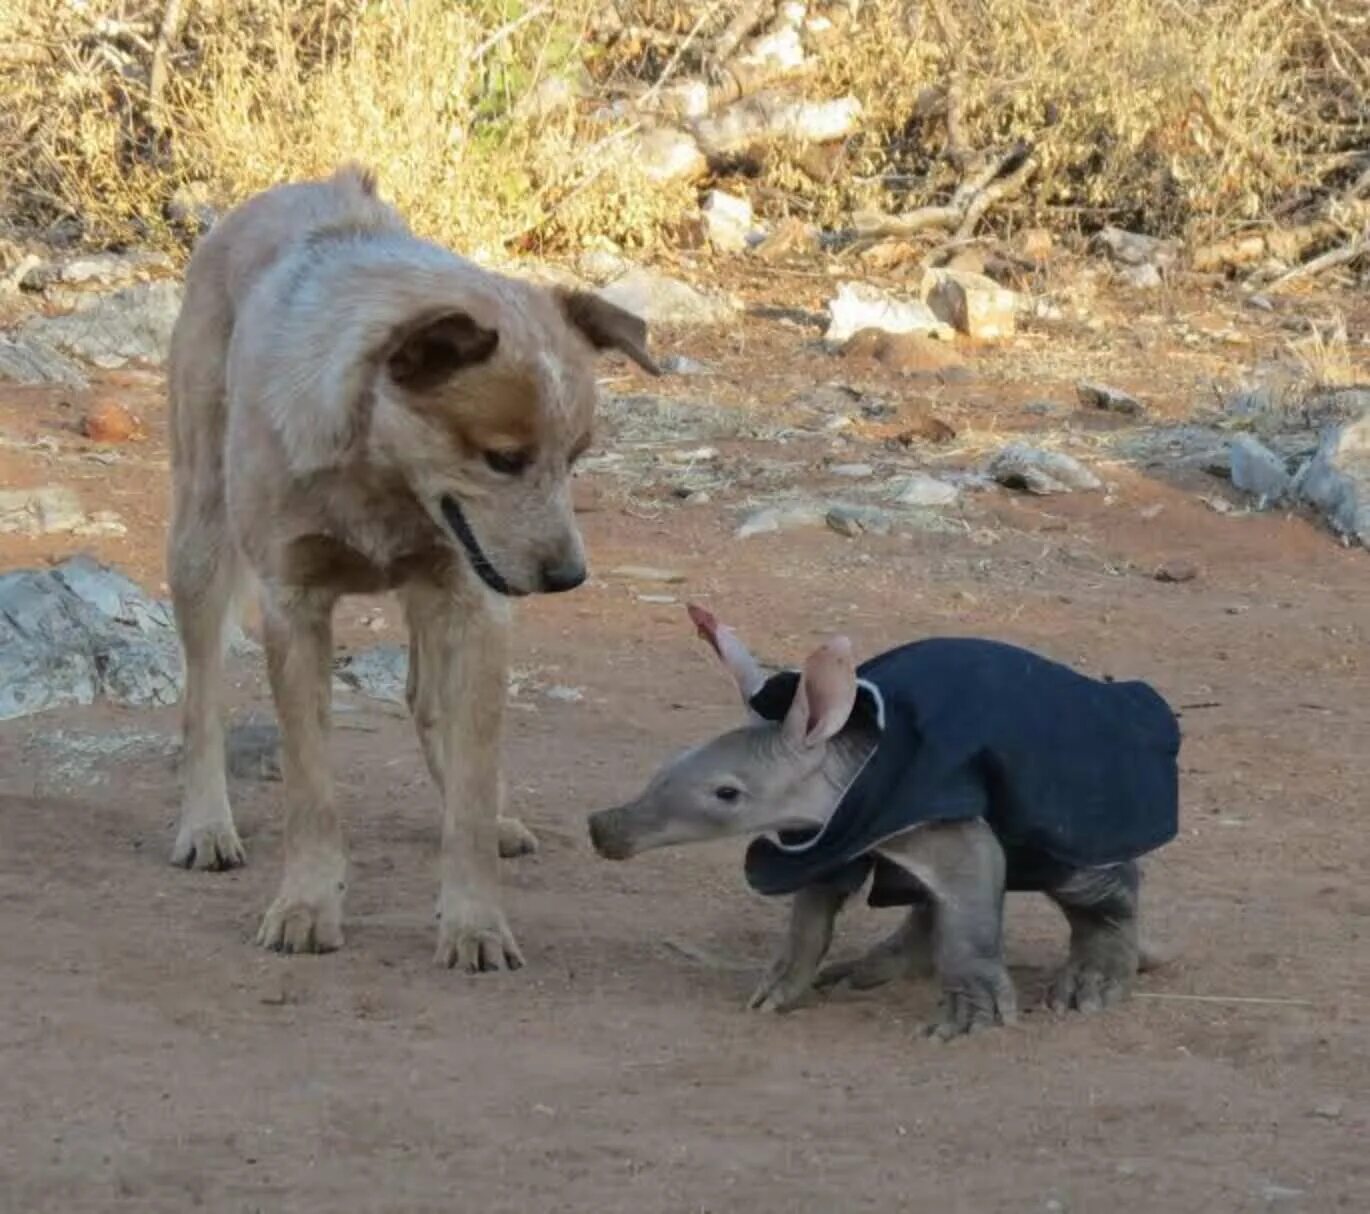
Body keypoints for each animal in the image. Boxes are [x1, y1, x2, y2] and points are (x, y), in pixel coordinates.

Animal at [165, 166, 657, 975]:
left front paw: (474, 920)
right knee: (201, 694)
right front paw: (306, 905)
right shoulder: (294, 605)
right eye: (503, 458)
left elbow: (473, 782)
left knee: (429, 703)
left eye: (578, 456)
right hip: (200, 537)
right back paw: (205, 824)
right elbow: (311, 790)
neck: (379, 478)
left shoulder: (472, 600)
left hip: (441, 595)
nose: (568, 578)